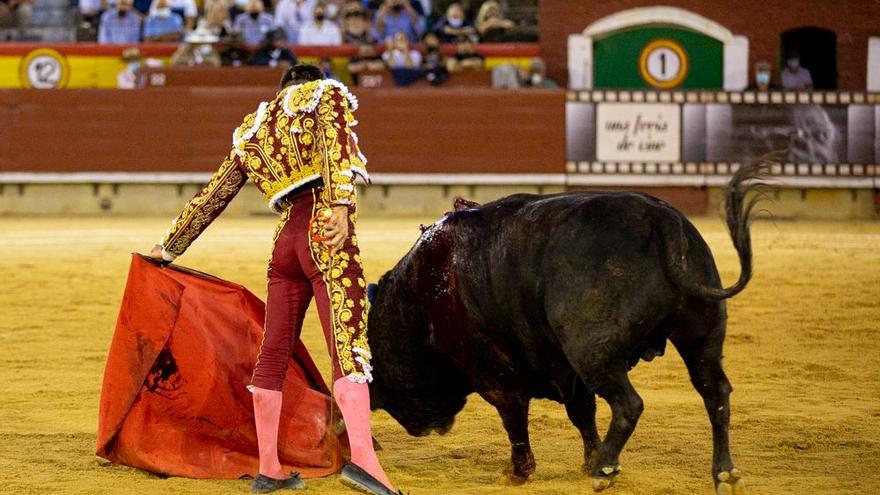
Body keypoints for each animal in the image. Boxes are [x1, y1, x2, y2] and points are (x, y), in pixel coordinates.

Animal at [364, 159, 768, 492]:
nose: (419, 427)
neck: (418, 298)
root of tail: (660, 219)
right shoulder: (565, 370)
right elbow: (582, 413)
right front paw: (589, 458)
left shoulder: (492, 370)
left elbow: (514, 416)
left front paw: (520, 473)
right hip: (701, 335)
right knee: (715, 393)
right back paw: (724, 474)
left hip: (591, 350)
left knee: (630, 404)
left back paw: (605, 471)